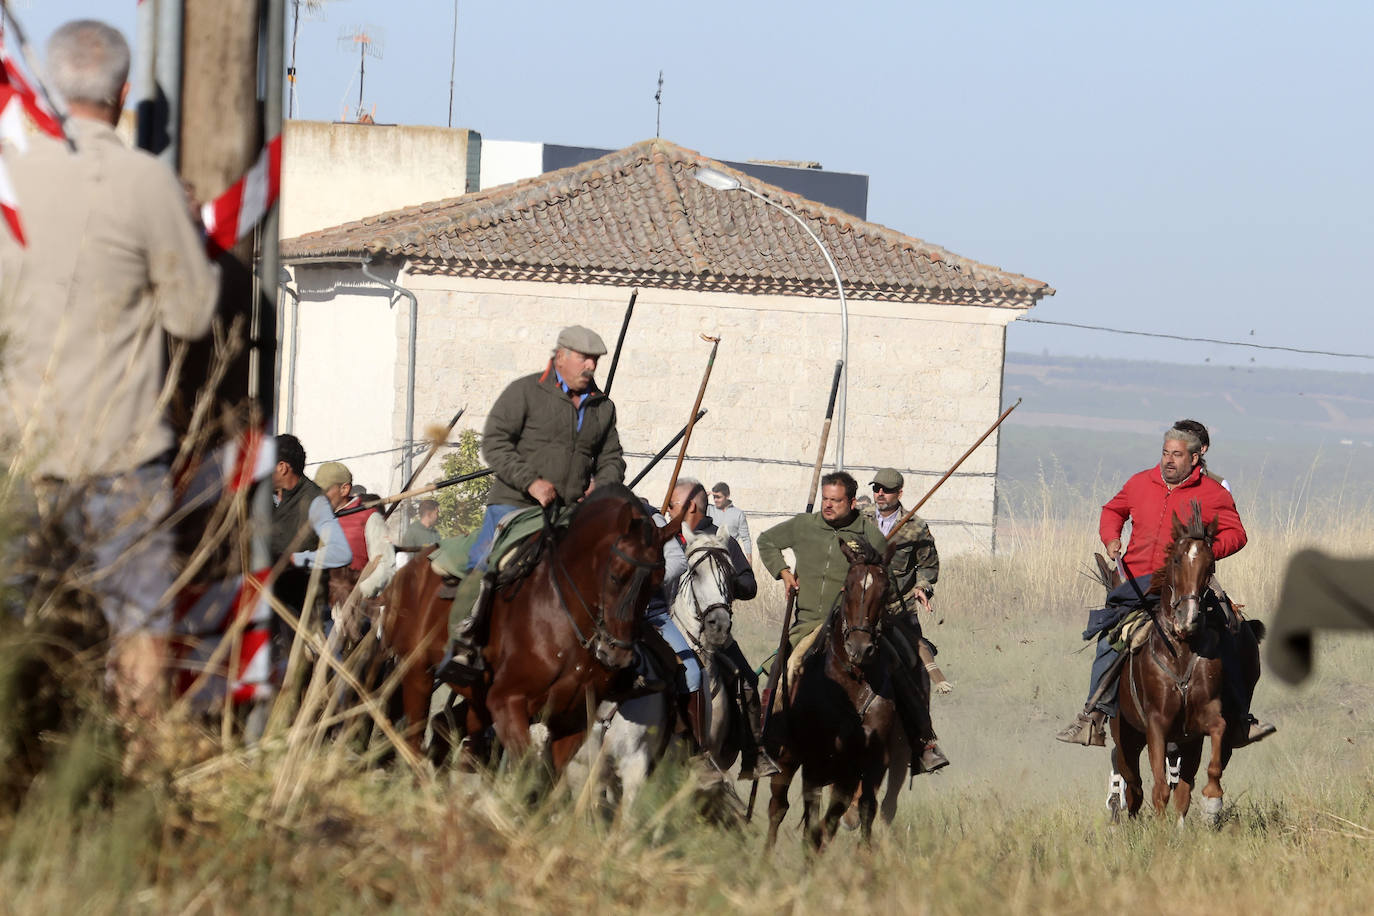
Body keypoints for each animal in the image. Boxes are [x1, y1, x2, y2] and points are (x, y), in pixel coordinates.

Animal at [381, 486, 681, 774]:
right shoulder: (507, 702)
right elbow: (525, 769)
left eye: (657, 581)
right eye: (616, 576)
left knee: (444, 725)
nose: (616, 655)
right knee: (414, 739)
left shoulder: (571, 722)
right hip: (416, 672)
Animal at [763, 538, 901, 851]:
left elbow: (859, 810)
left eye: (885, 588)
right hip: (786, 759)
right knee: (777, 807)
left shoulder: (869, 764)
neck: (853, 680)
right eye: (848, 586)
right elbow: (813, 823)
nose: (860, 648)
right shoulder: (816, 762)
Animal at [1110, 505, 1258, 829]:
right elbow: (1159, 789)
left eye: (1210, 565)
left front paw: (1212, 802)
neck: (1179, 651)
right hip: (1126, 735)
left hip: (1187, 743)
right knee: (1133, 783)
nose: (1187, 619)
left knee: (1180, 787)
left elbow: (1207, 768)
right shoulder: (1156, 725)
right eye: (1177, 559)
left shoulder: (1204, 721)